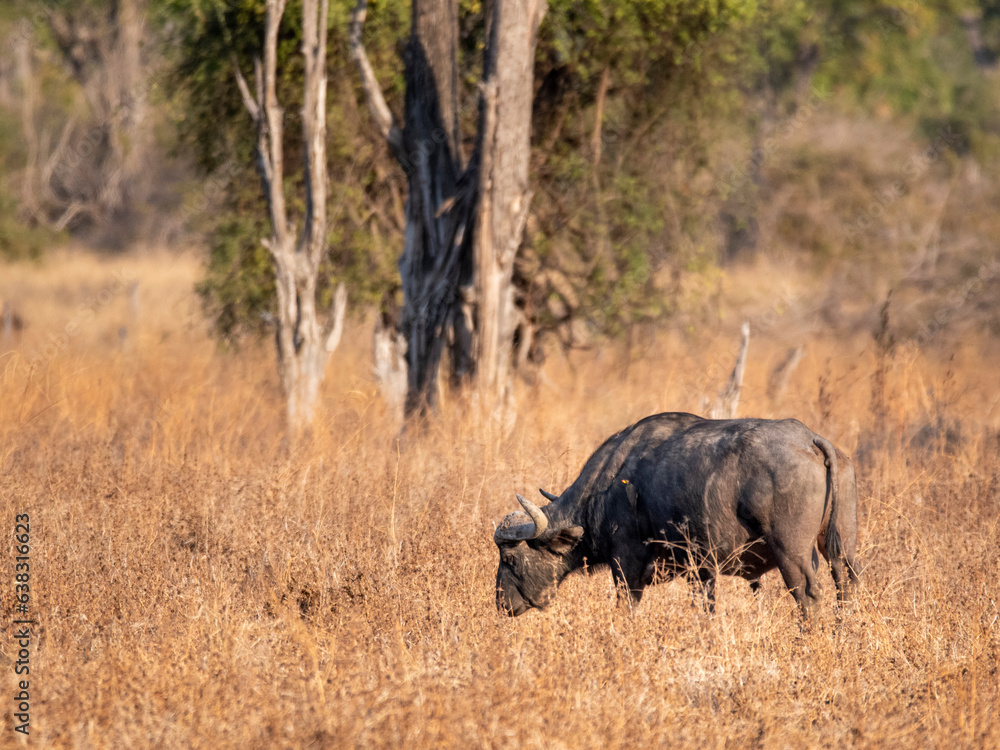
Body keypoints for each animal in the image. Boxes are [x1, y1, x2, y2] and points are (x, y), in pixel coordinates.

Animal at [494, 412, 859, 617]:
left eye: (510, 559)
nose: (501, 604)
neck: (611, 480)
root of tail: (810, 439)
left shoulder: (626, 564)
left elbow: (626, 610)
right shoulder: (702, 570)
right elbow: (706, 610)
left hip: (791, 553)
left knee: (808, 596)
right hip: (841, 550)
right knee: (847, 587)